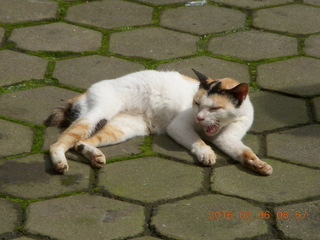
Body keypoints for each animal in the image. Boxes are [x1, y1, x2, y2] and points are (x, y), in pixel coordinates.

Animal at [45, 68, 272, 175]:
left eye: (215, 108)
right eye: (197, 103)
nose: (199, 117)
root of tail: (85, 91)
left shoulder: (228, 139)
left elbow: (244, 152)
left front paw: (259, 165)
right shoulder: (178, 127)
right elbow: (198, 141)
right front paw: (206, 153)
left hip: (120, 129)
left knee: (80, 143)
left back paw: (95, 156)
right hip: (97, 115)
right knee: (60, 143)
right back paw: (60, 162)